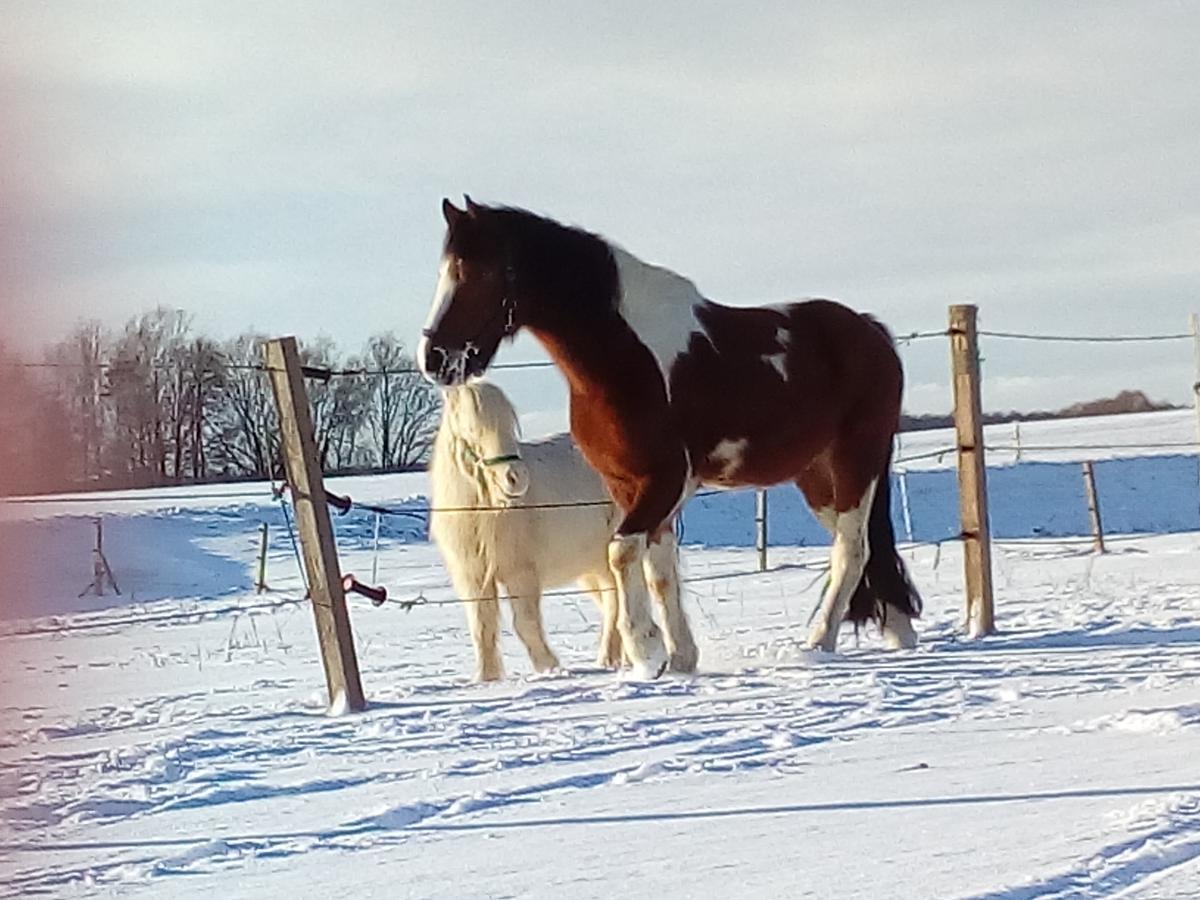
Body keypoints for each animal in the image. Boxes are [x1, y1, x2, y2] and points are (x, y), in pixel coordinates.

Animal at [434, 381, 648, 681]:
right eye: (473, 428)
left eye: (510, 424)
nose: (515, 478)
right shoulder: (472, 576)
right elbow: (481, 626)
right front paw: (487, 678)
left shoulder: (520, 572)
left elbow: (524, 623)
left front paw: (549, 667)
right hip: (591, 566)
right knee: (612, 600)